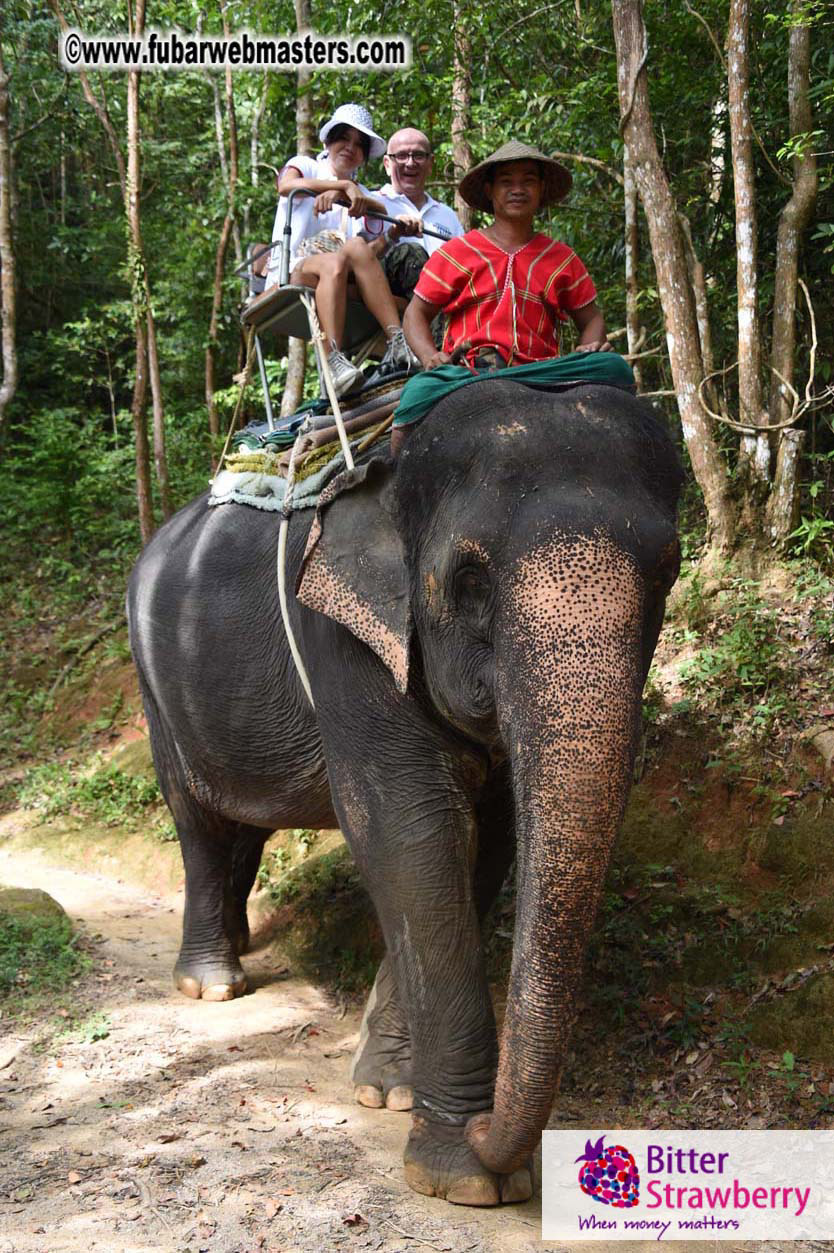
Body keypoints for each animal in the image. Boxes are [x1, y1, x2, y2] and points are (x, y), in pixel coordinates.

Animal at [127, 379, 682, 1207]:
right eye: (469, 581)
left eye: (667, 574)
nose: (489, 1130)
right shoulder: (341, 635)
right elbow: (410, 830)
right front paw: (466, 1176)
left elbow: (487, 841)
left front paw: (388, 1088)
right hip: (158, 692)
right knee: (200, 825)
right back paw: (213, 985)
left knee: (244, 833)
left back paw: (240, 944)